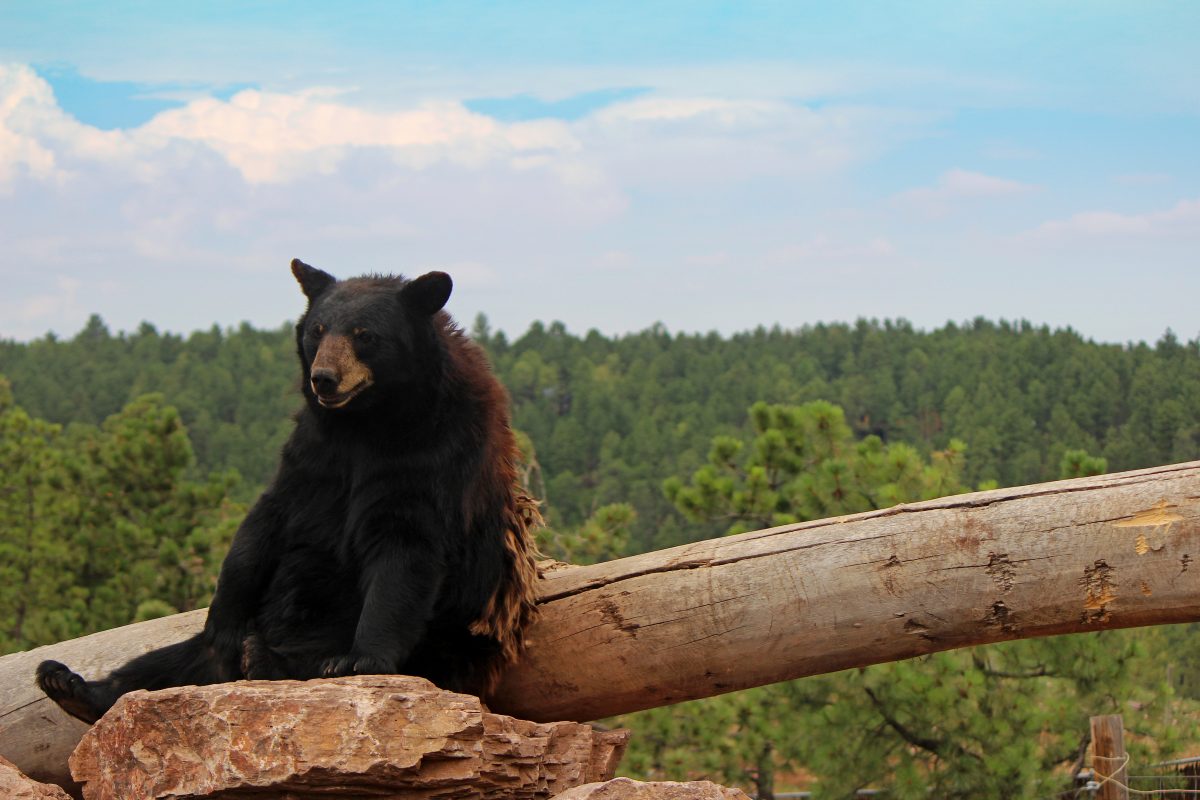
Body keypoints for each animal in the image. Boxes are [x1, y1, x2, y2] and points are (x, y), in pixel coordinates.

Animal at [36, 259, 541, 724]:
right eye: (317, 330)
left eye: (364, 334)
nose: (324, 378)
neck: (368, 423)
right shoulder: (314, 453)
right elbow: (266, 521)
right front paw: (225, 608)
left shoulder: (435, 457)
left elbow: (405, 548)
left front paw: (362, 657)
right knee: (173, 661)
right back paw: (71, 684)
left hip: (450, 635)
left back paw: (269, 658)